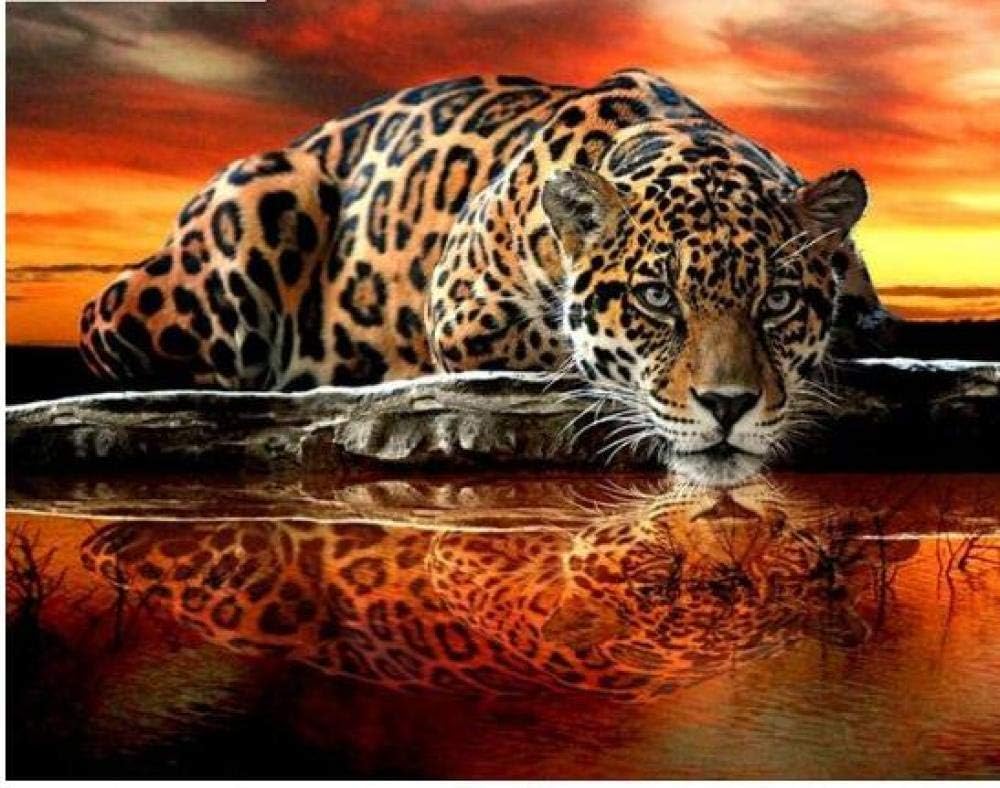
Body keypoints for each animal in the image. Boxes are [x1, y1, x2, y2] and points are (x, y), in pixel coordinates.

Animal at [79, 68, 888, 478]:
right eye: (657, 298)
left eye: (777, 301)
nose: (729, 406)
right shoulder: (463, 308)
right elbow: (563, 347)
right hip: (257, 208)